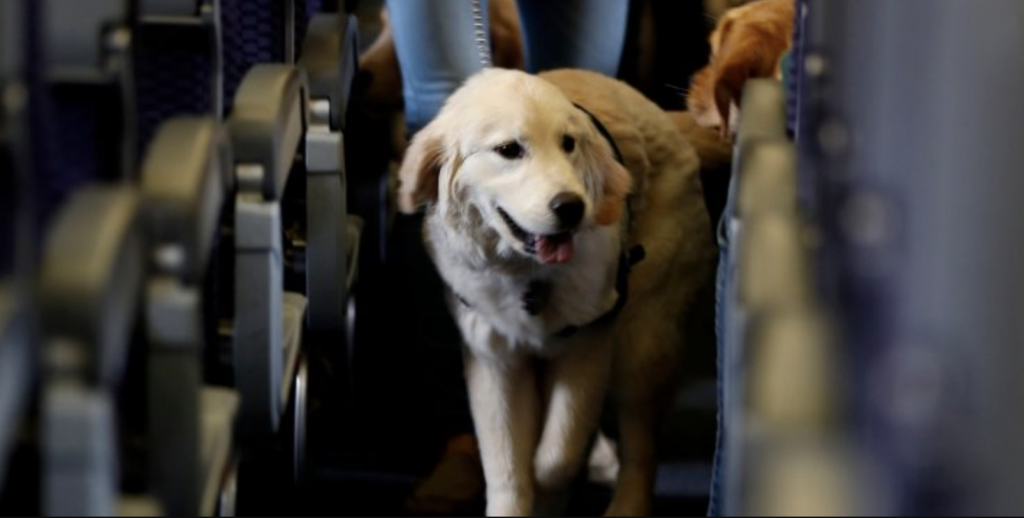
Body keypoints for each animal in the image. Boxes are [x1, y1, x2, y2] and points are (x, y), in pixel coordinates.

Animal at [395, 67, 716, 513]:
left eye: (569, 144)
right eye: (509, 150)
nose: (571, 207)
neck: (528, 274)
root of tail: (665, 119)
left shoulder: (588, 343)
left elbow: (556, 455)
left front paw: (551, 492)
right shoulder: (493, 356)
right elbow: (507, 469)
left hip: (644, 342)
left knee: (641, 449)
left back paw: (625, 502)